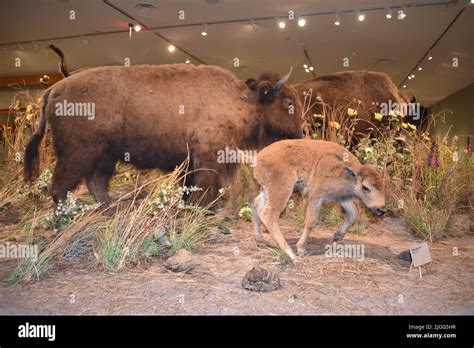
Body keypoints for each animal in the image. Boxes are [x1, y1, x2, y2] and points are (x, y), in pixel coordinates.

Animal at [24, 46, 302, 204]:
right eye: (288, 101)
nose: (299, 135)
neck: (241, 100)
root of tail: (54, 89)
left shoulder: (192, 161)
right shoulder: (208, 157)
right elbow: (206, 187)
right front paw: (203, 210)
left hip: (104, 155)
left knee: (96, 183)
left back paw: (111, 210)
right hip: (79, 153)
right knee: (61, 187)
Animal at [252, 139, 386, 260]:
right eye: (365, 187)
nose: (381, 210)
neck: (348, 173)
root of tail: (259, 157)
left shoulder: (341, 197)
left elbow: (353, 214)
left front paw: (337, 236)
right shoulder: (315, 197)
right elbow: (311, 222)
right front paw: (301, 249)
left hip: (266, 190)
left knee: (256, 205)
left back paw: (261, 240)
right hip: (282, 190)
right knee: (269, 214)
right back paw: (290, 254)